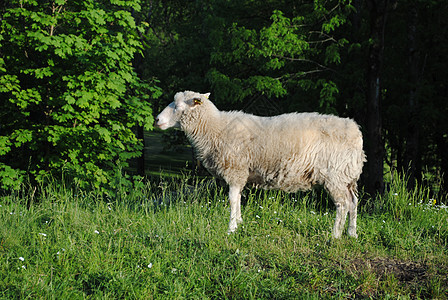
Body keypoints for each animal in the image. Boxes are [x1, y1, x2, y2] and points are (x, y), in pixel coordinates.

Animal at [156, 90, 366, 238]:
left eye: (178, 105)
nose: (157, 120)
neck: (215, 129)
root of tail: (356, 130)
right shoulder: (241, 172)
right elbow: (238, 197)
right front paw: (239, 222)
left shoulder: (235, 169)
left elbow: (232, 199)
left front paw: (231, 228)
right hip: (348, 176)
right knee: (354, 202)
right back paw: (352, 233)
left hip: (335, 175)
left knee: (342, 205)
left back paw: (335, 235)